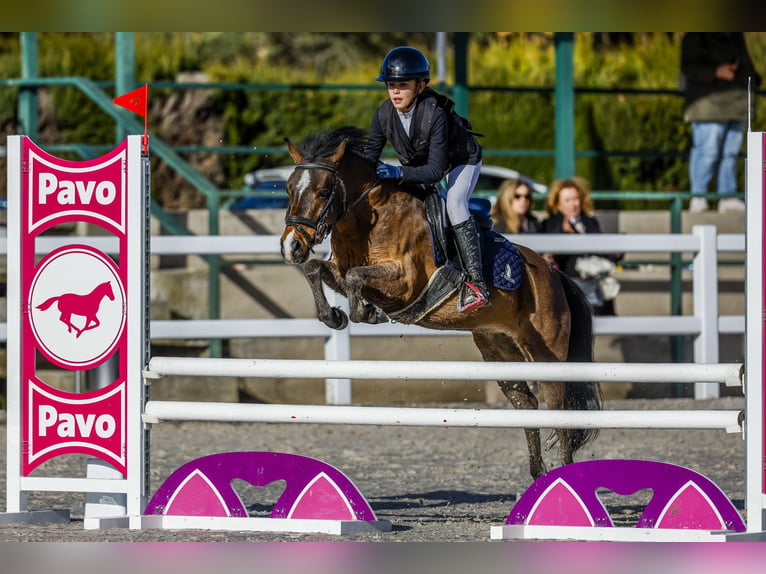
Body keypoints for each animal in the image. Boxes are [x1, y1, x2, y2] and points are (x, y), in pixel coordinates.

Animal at [280, 127, 604, 482]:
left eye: (324, 191)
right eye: (288, 189)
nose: (291, 246)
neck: (367, 220)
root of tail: (553, 273)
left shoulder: (405, 282)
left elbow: (355, 277)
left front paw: (364, 312)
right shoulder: (338, 270)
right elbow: (318, 270)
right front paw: (335, 317)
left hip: (548, 356)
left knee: (559, 411)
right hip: (502, 351)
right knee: (527, 406)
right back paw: (537, 476)